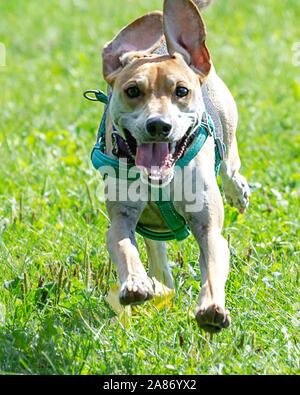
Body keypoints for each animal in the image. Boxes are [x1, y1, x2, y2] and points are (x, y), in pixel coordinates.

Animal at [96, 0, 251, 334]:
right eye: (132, 91)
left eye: (181, 91)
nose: (158, 125)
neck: (161, 181)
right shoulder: (121, 217)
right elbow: (125, 246)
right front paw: (135, 283)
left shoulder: (208, 225)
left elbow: (213, 263)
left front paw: (211, 308)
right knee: (157, 255)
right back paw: (159, 285)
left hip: (228, 128)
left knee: (230, 166)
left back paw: (238, 191)